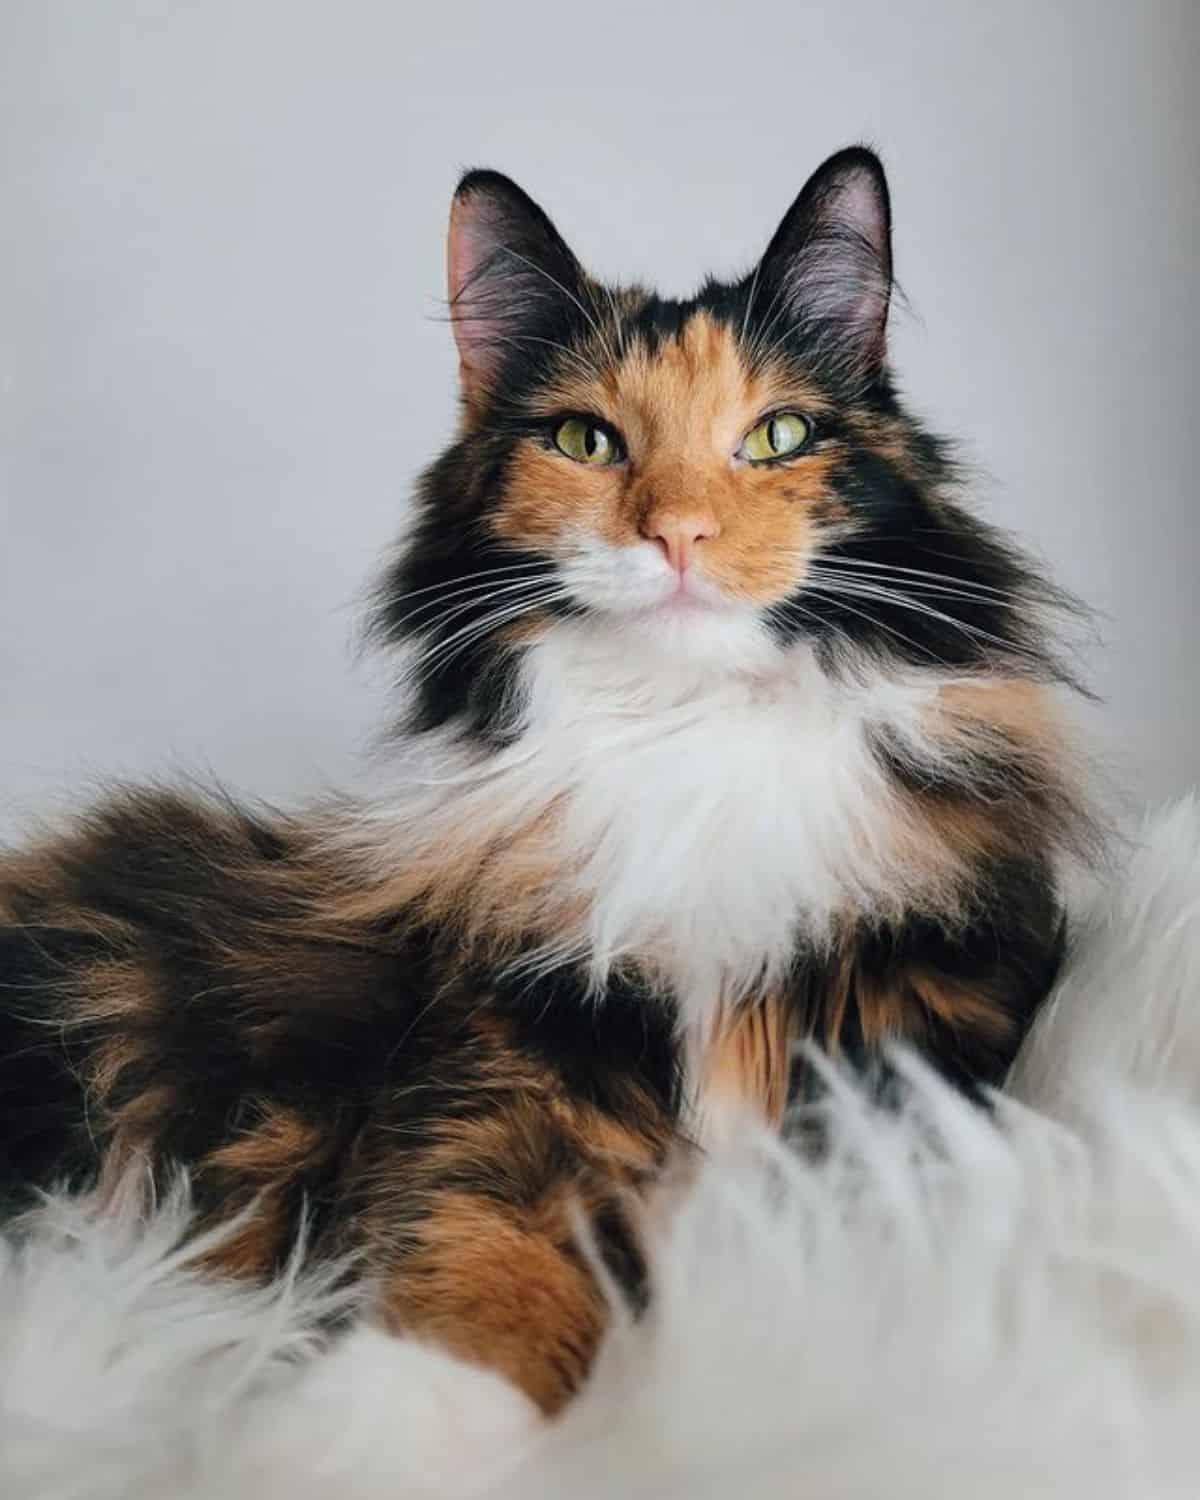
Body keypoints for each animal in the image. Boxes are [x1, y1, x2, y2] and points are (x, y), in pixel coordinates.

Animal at [0, 149, 1086, 1416]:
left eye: (777, 435)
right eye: (585, 440)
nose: (680, 534)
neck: (686, 739)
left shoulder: (916, 1045)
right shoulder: (509, 1056)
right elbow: (481, 1290)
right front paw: (354, 1434)